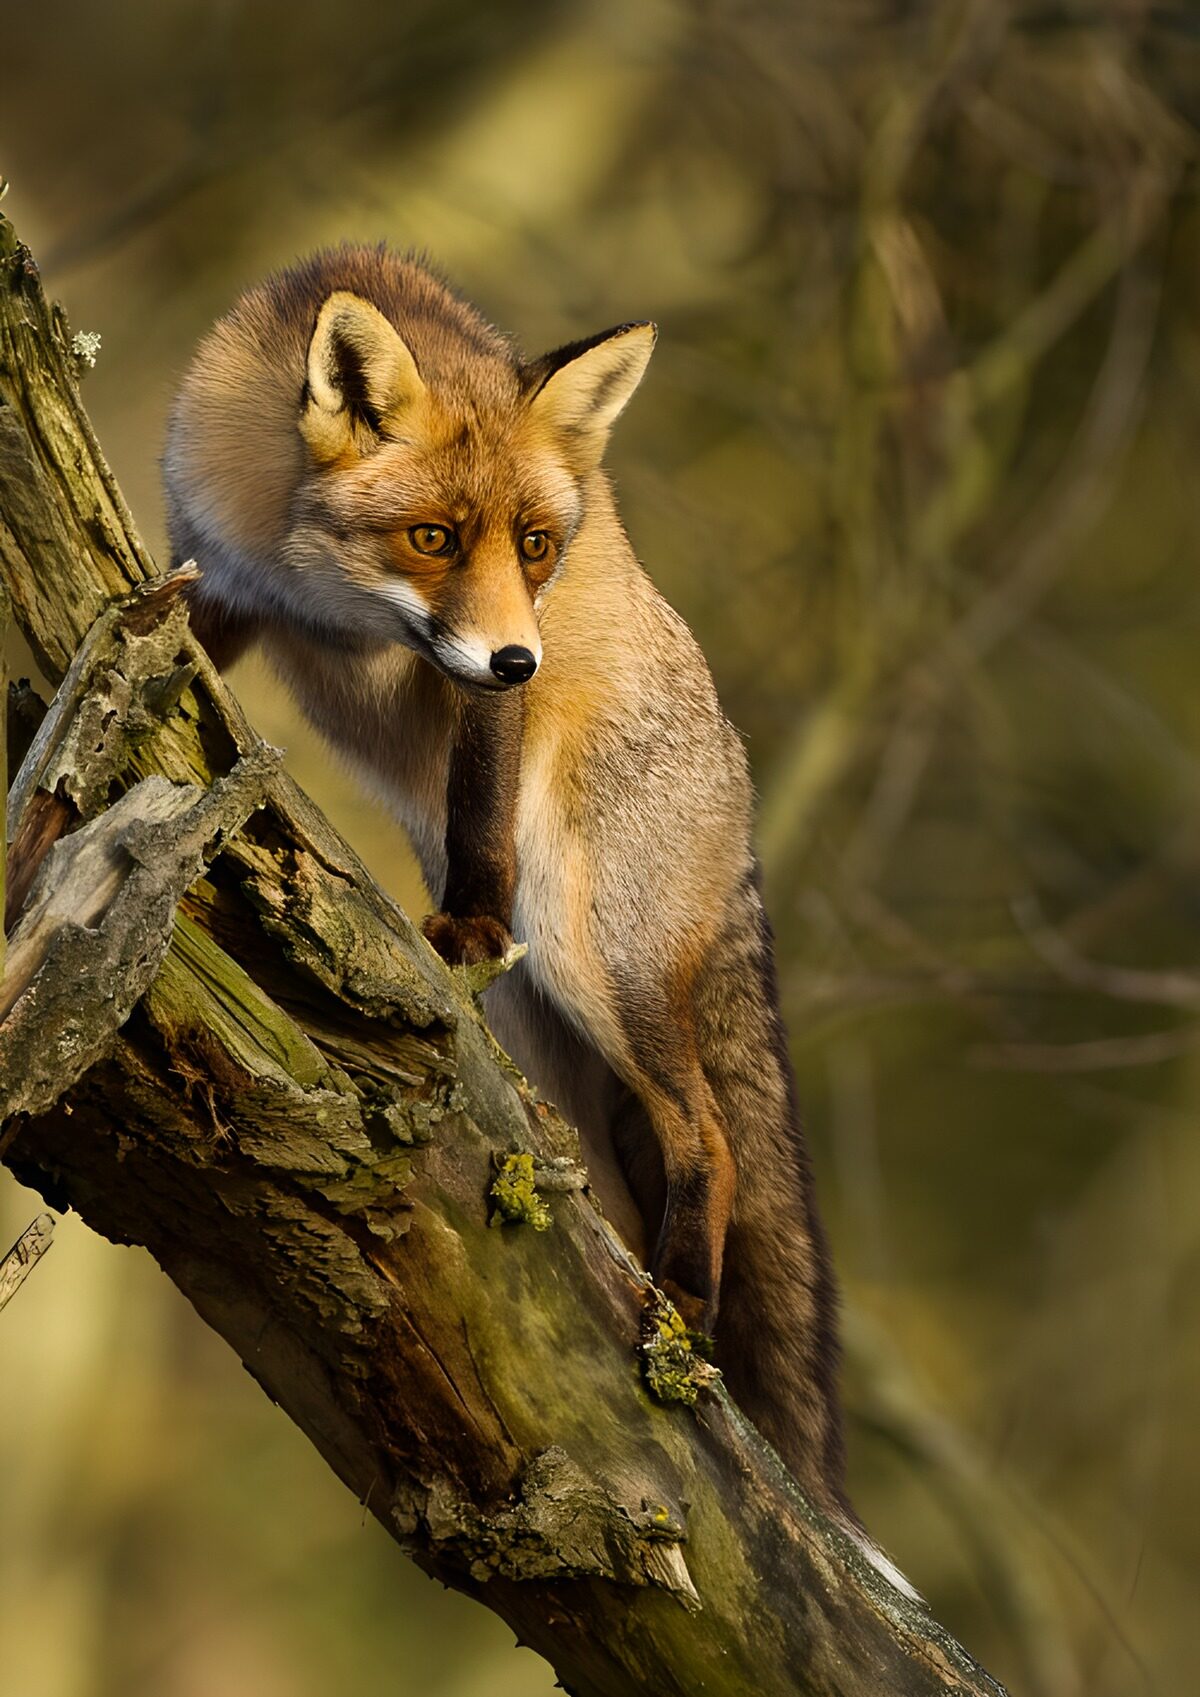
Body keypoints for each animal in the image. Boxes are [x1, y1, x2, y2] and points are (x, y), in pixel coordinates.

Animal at [164, 244, 913, 1596]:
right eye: (431, 537)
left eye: (539, 544)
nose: (525, 658)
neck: (325, 593)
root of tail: (739, 808)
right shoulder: (221, 578)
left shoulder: (482, 688)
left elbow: (478, 804)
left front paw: (467, 910)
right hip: (548, 1039)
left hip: (590, 958)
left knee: (711, 1137)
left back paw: (684, 1316)